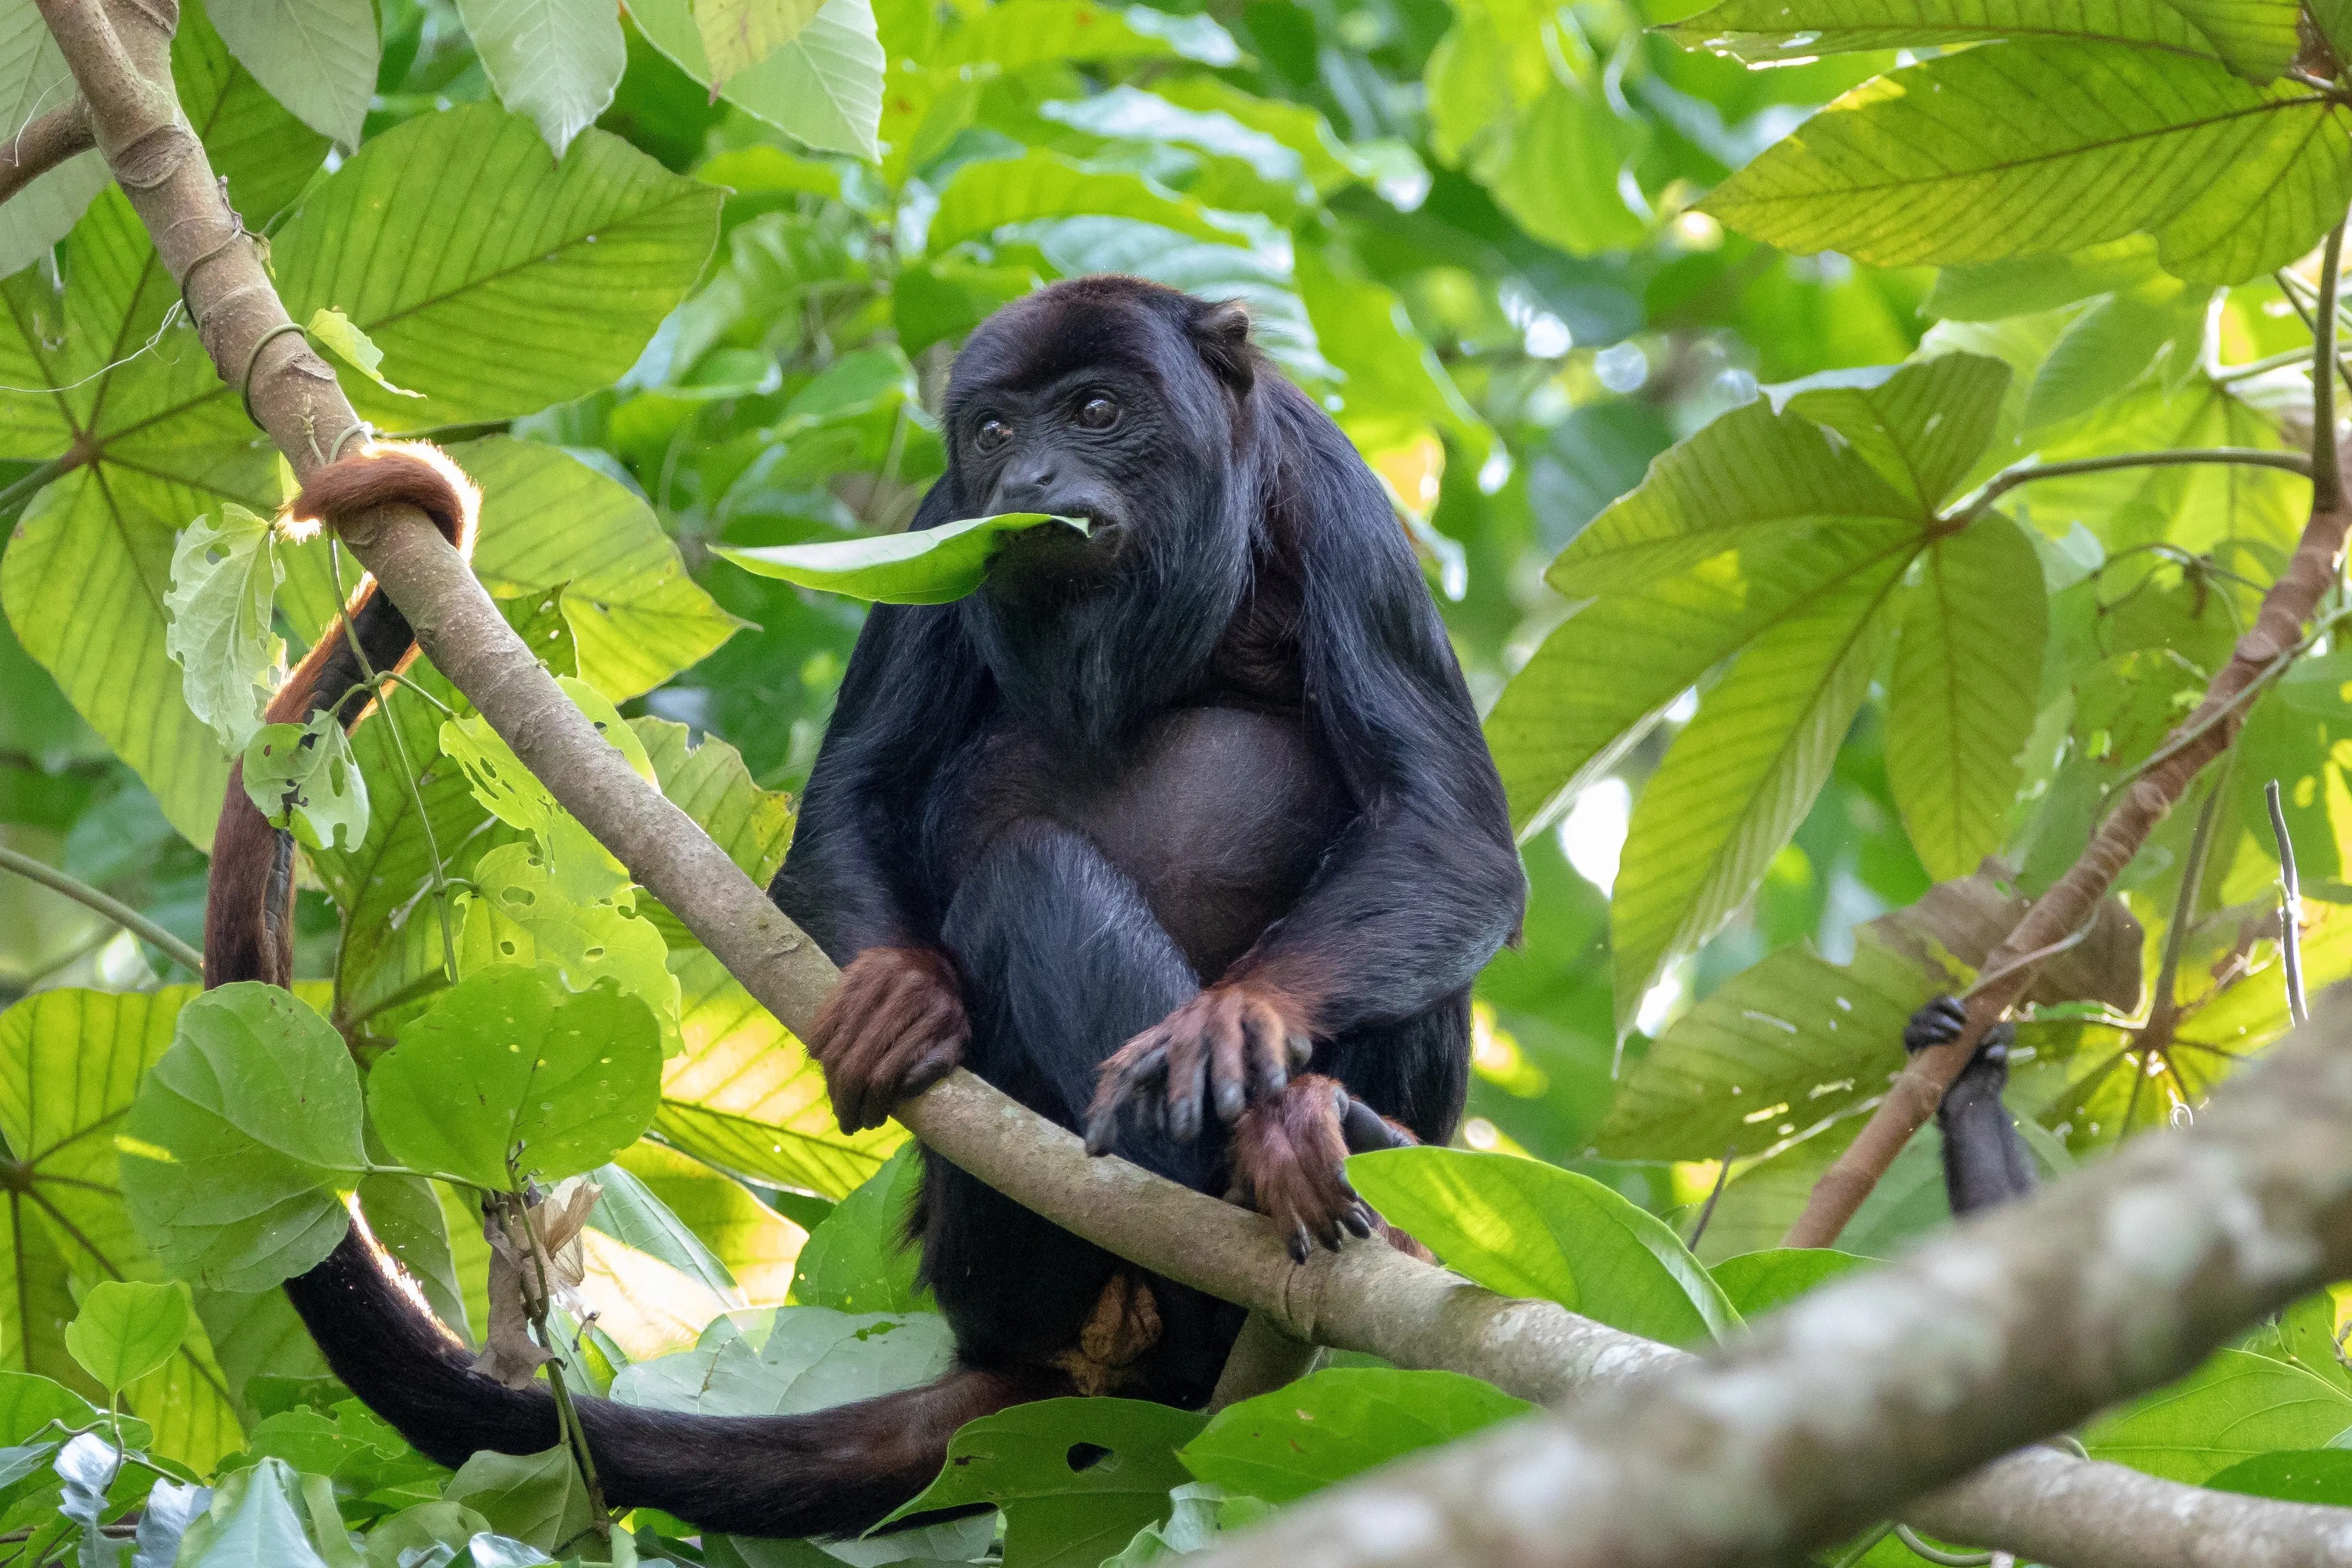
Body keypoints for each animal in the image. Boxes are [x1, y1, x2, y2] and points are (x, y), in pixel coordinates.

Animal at [212, 277, 1526, 1540]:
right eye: (996, 433)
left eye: (1098, 410)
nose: (1030, 483)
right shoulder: (943, 520)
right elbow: (860, 787)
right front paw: (902, 992)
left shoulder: (1337, 503)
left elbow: (1447, 833)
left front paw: (1240, 1027)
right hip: (992, 1264)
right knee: (1022, 874)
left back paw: (1313, 1135)